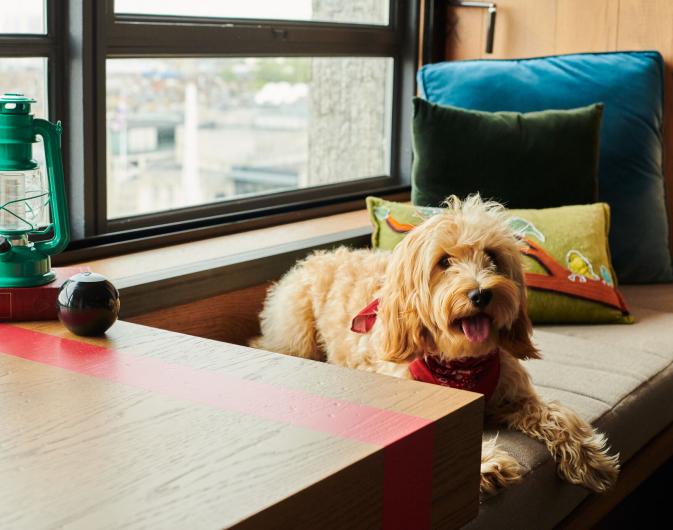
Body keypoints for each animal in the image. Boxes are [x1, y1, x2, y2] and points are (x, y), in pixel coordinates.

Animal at [252, 195, 620, 496]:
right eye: (444, 262)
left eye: (492, 257)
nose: (481, 294)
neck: (460, 363)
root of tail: (314, 257)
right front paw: (487, 463)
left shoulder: (515, 394)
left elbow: (559, 415)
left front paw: (589, 456)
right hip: (297, 334)